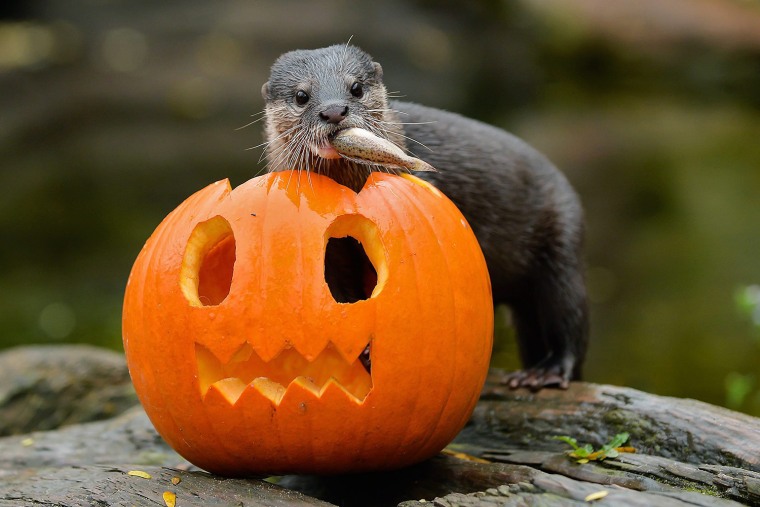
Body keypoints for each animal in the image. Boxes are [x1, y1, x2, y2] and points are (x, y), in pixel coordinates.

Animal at [262, 44, 588, 392]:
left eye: (356, 88)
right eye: (301, 95)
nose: (334, 110)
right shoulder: (332, 254)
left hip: (563, 243)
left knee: (570, 318)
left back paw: (547, 372)